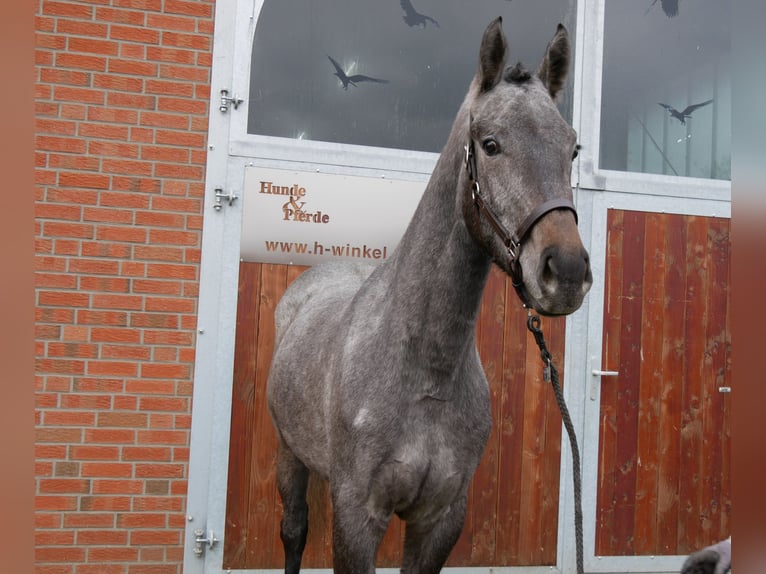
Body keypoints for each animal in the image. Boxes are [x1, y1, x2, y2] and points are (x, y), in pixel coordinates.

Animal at [264, 18, 592, 574]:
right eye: (490, 144)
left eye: (572, 149)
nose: (566, 271)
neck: (425, 373)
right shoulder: (358, 518)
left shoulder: (440, 519)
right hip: (290, 456)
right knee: (293, 532)